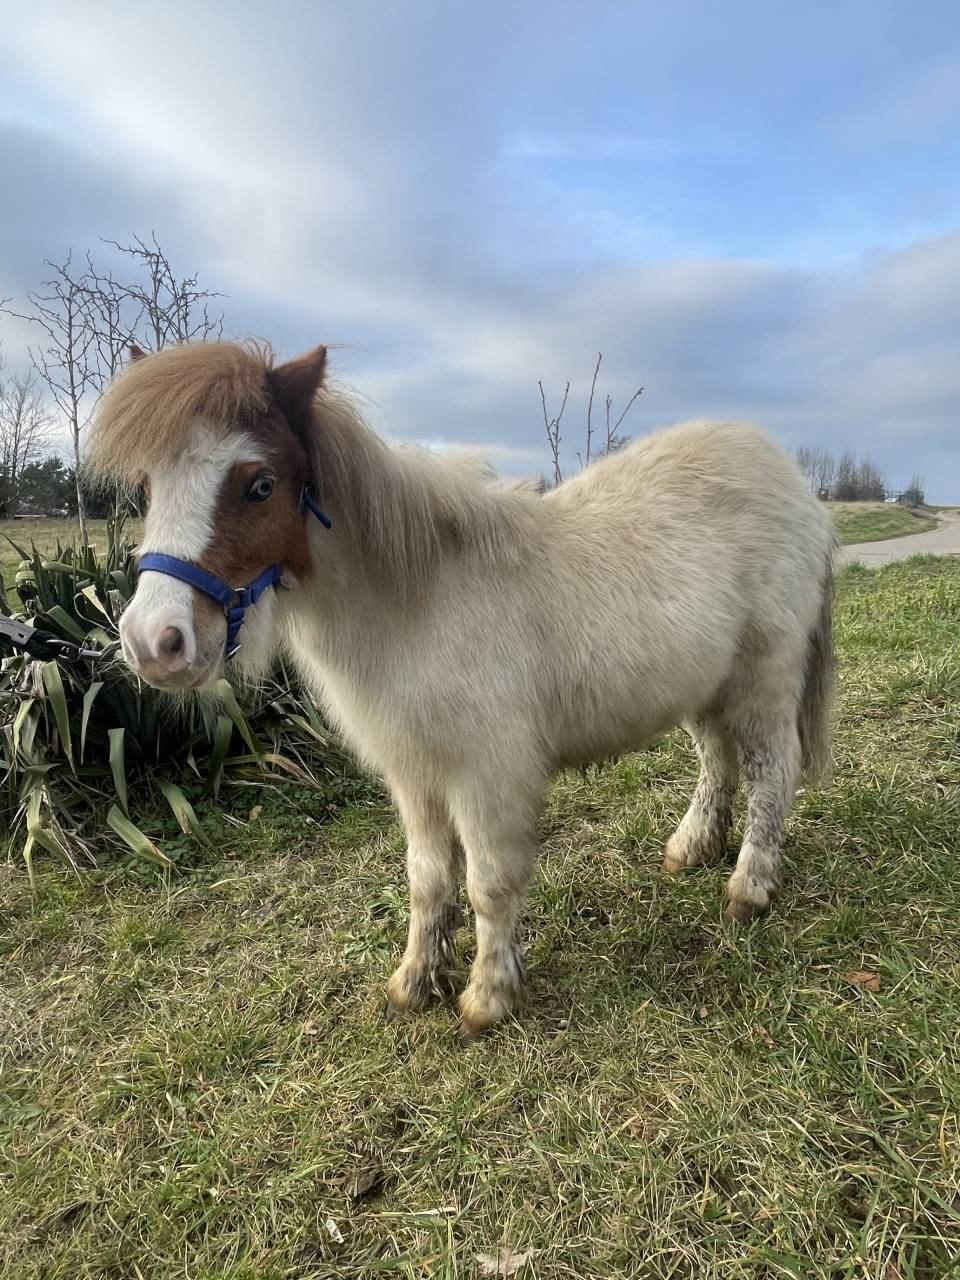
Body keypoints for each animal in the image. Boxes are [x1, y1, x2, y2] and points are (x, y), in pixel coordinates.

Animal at [88, 340, 835, 1036]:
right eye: (147, 487)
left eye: (260, 485)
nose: (154, 643)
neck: (417, 604)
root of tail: (787, 476)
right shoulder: (416, 776)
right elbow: (427, 881)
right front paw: (416, 982)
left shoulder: (486, 777)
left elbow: (488, 884)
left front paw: (487, 998)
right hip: (705, 686)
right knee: (717, 760)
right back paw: (691, 848)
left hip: (763, 680)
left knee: (772, 771)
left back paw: (748, 889)